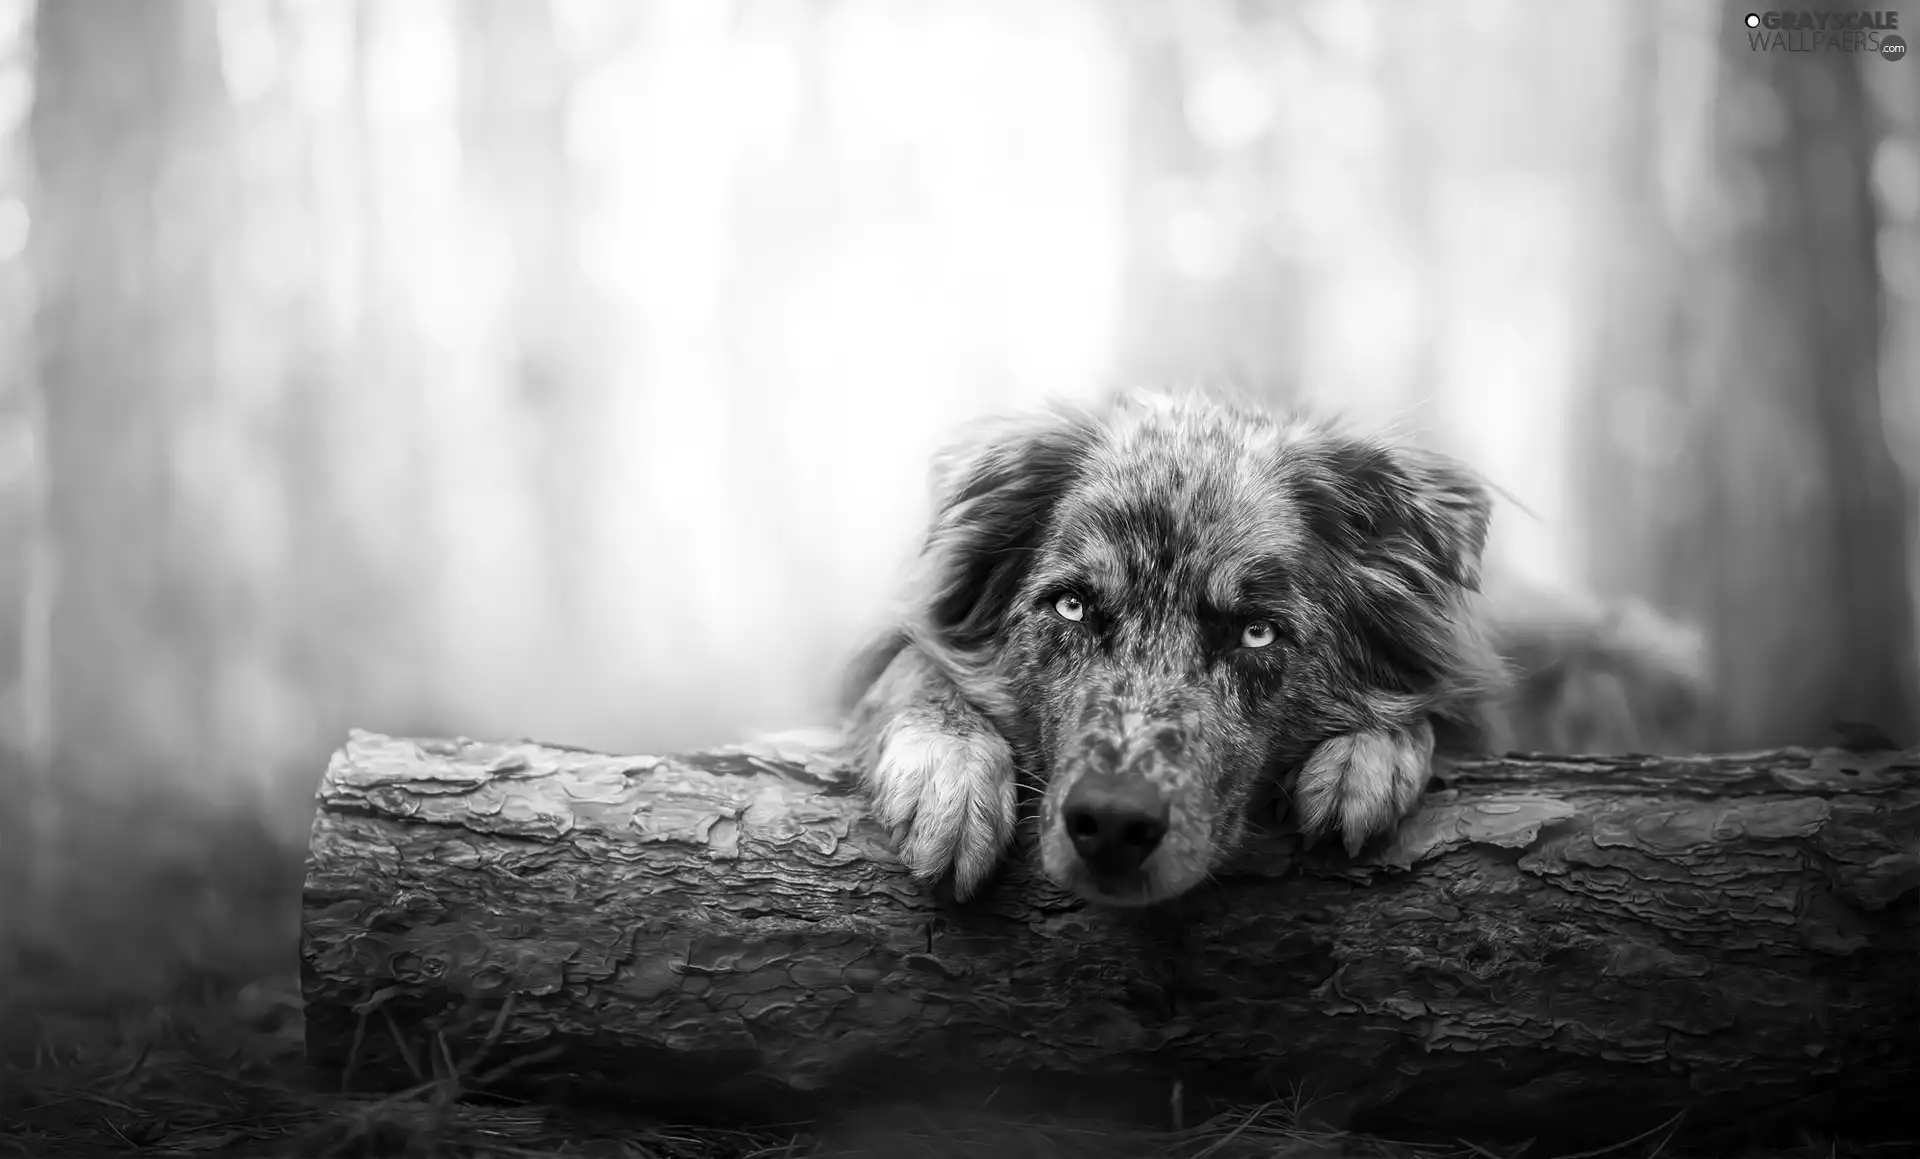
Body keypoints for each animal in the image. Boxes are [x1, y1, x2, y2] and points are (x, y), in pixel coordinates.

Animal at [840, 393, 1712, 909]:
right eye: (1072, 605)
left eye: (1256, 631)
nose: (1112, 824)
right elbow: (910, 663)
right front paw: (946, 770)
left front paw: (1367, 754)